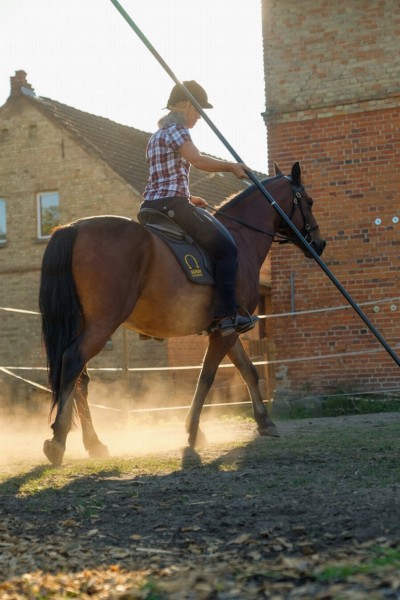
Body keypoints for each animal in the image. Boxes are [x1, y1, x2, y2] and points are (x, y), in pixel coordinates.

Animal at [39, 162, 326, 466]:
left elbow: (248, 371)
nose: (320, 243)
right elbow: (206, 377)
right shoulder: (224, 333)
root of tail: (73, 227)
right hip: (102, 324)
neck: (242, 238)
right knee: (72, 362)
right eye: (308, 201)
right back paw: (58, 440)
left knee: (80, 378)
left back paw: (94, 443)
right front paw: (192, 430)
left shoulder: (227, 327)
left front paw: (264, 421)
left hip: (83, 324)